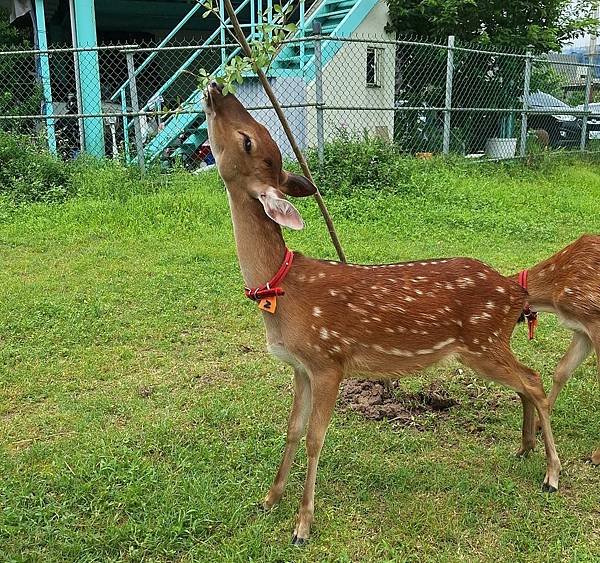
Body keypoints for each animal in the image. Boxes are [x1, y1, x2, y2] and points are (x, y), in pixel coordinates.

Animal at [203, 83, 564, 548]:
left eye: (249, 139)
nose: (216, 88)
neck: (283, 291)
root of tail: (515, 289)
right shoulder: (299, 367)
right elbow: (292, 429)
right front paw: (269, 499)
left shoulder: (329, 361)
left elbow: (316, 439)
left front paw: (303, 526)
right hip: (488, 343)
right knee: (526, 382)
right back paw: (525, 448)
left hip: (482, 341)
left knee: (534, 379)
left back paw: (552, 474)